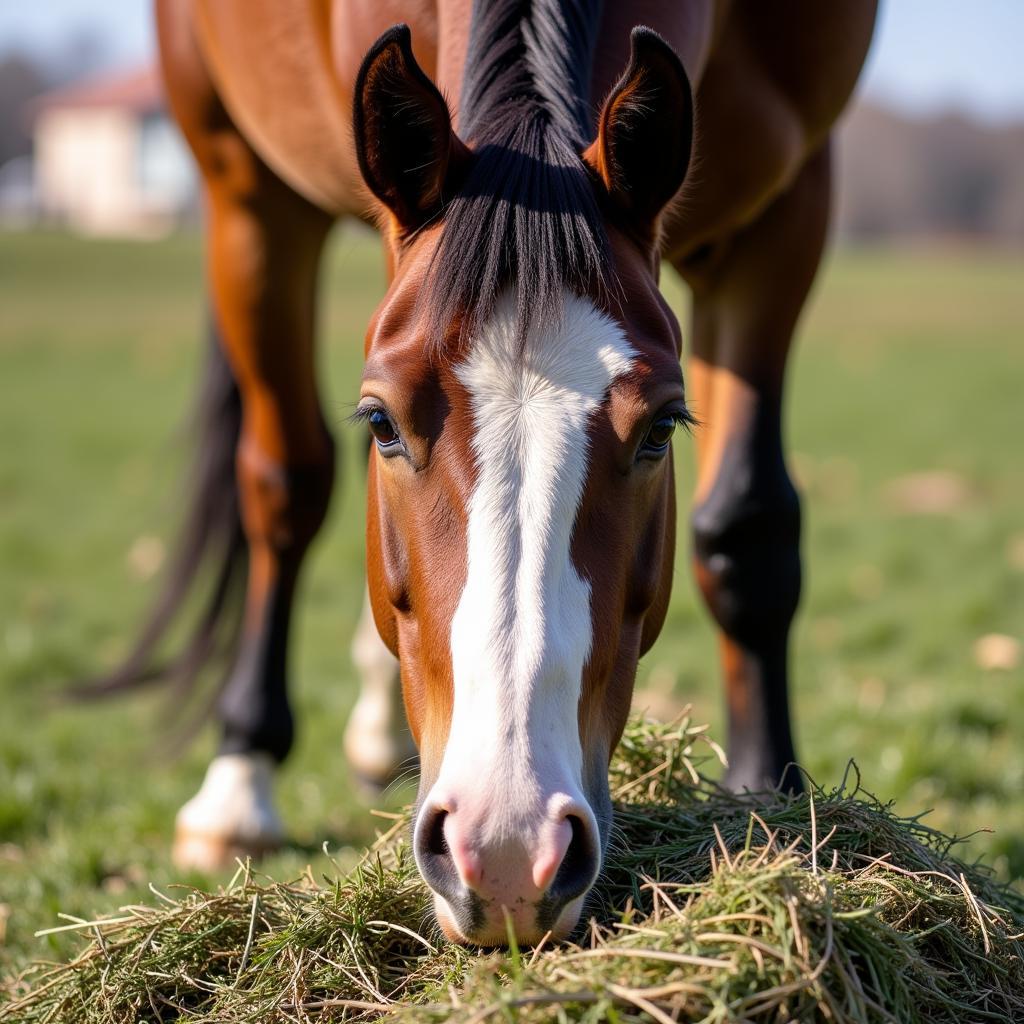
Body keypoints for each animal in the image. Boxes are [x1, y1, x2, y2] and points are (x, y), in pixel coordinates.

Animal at [117, 0, 880, 942]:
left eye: (662, 427)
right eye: (382, 422)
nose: (510, 849)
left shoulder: (786, 208)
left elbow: (747, 527)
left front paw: (771, 802)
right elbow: (288, 480)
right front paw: (238, 784)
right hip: (244, 184)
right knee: (282, 481)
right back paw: (242, 784)